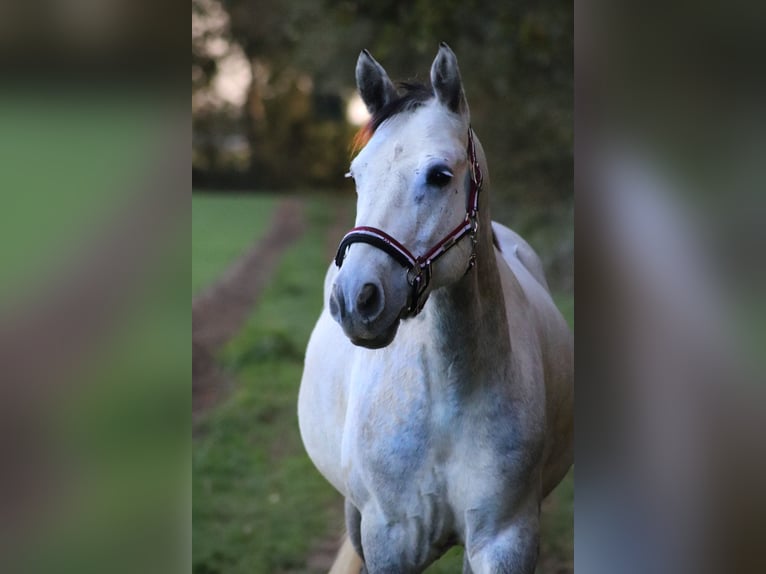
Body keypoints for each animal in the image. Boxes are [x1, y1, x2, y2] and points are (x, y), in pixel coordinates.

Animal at [296, 42, 572, 572]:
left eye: (440, 175)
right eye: (356, 176)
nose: (355, 299)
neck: (450, 392)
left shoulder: (504, 539)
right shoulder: (388, 539)